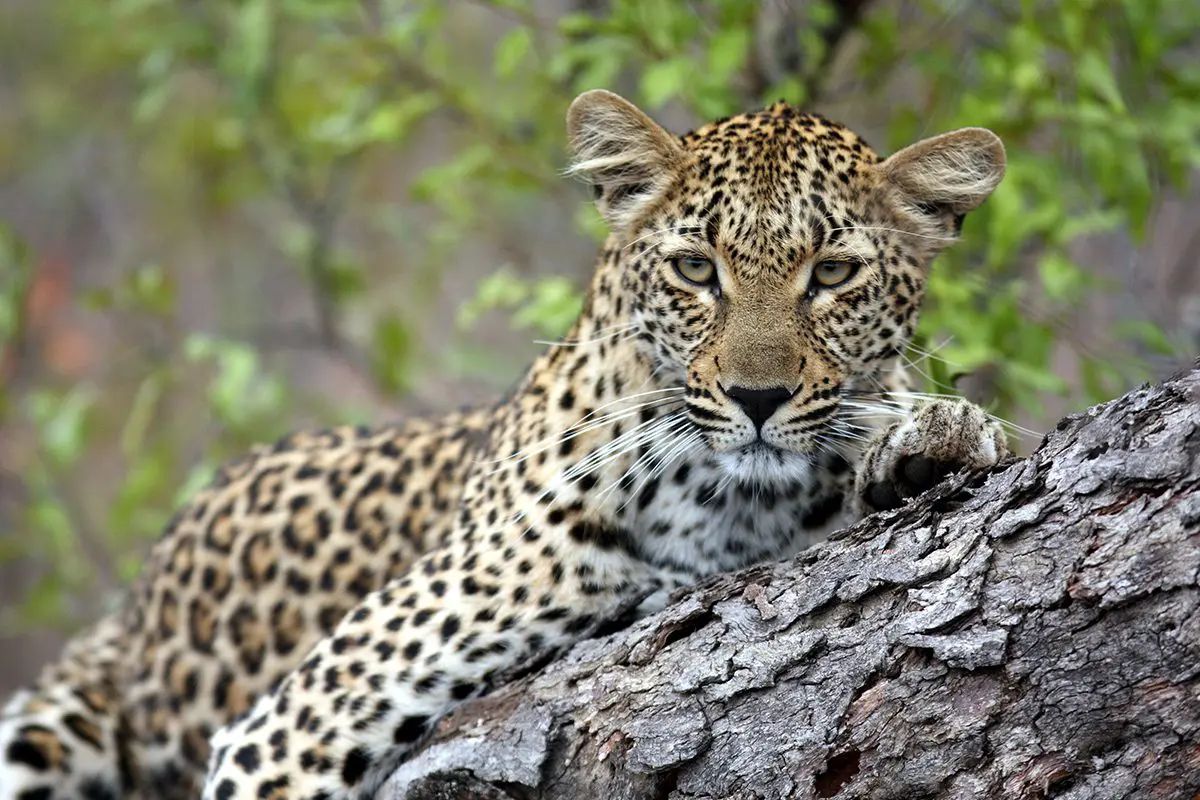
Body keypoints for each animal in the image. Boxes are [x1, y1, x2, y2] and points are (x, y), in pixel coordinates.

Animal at [0, 89, 1012, 800]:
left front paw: (935, 437)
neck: (728, 506)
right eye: (697, 269)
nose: (756, 398)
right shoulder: (289, 729)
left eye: (833, 274)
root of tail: (132, 613)